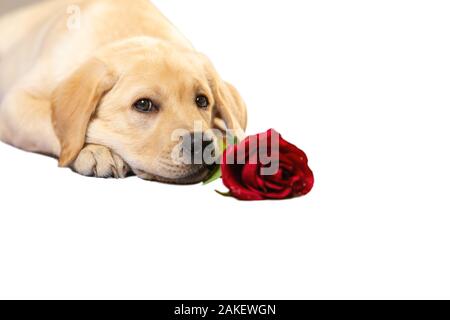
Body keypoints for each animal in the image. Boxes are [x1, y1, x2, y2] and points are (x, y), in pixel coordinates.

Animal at [0, 0, 246, 184]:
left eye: (202, 100)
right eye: (143, 104)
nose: (201, 145)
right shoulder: (15, 104)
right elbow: (53, 125)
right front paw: (95, 151)